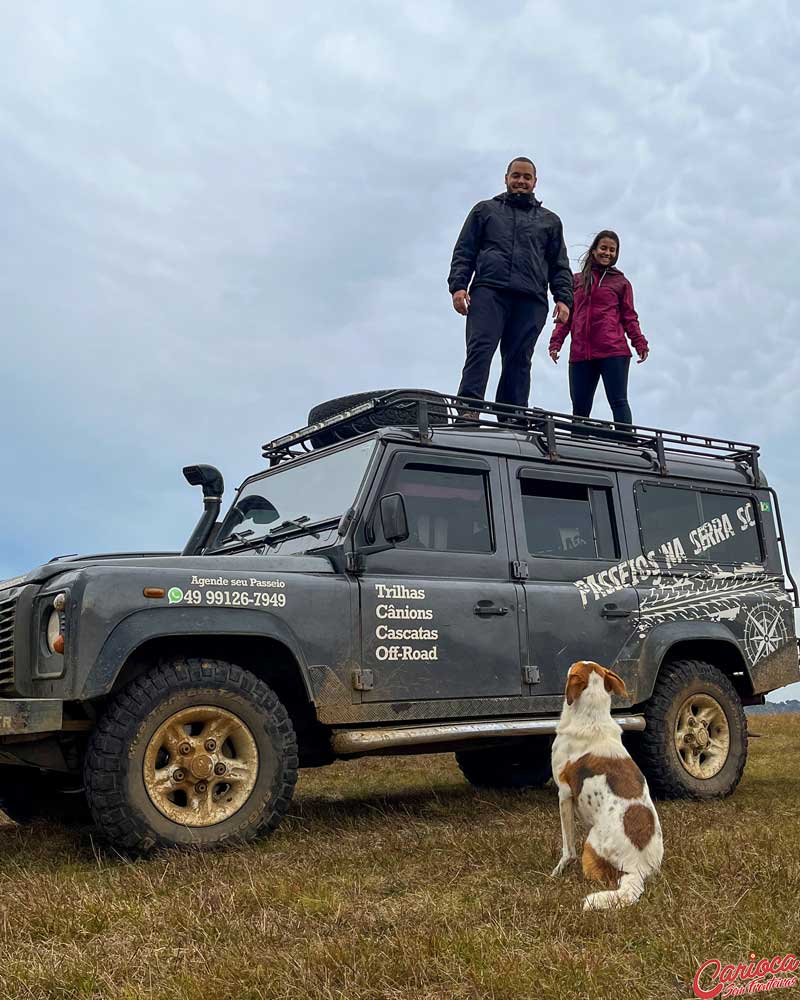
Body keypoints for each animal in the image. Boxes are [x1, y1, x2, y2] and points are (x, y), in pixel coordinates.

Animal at [552, 660, 664, 912]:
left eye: (575, 666)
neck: (592, 718)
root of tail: (638, 869)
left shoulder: (563, 794)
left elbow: (567, 848)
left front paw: (557, 872)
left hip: (590, 845)